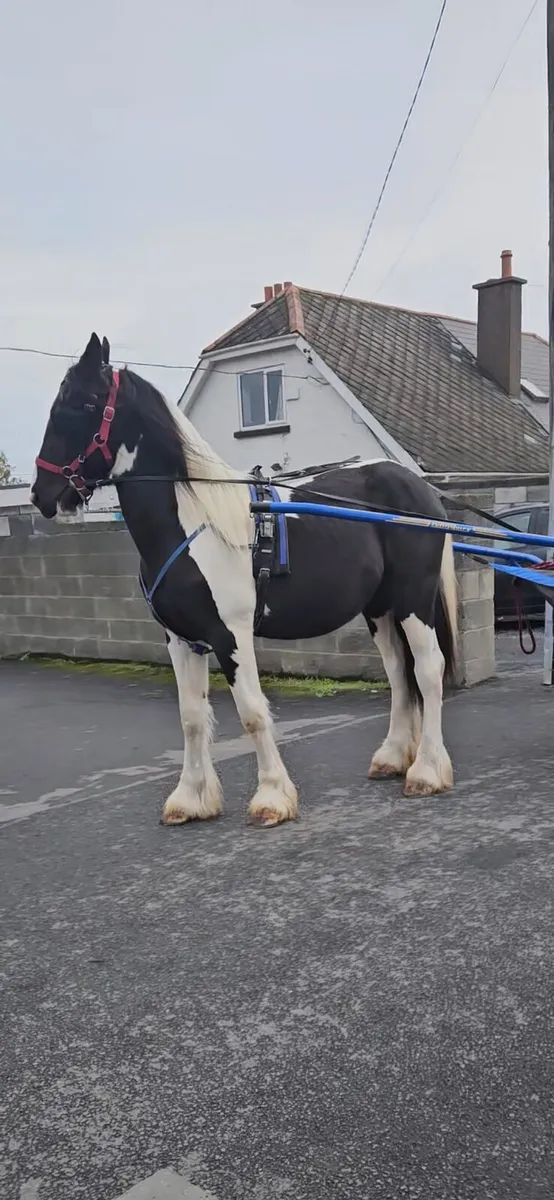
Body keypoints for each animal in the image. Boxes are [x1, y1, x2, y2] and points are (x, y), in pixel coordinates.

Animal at [31, 332, 458, 828]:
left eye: (81, 404)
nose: (42, 494)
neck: (195, 524)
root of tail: (420, 488)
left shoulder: (230, 634)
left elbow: (252, 712)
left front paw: (272, 798)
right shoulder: (181, 639)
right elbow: (191, 716)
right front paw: (190, 799)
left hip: (413, 601)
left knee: (427, 669)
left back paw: (426, 771)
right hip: (380, 609)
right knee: (398, 673)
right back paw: (392, 757)